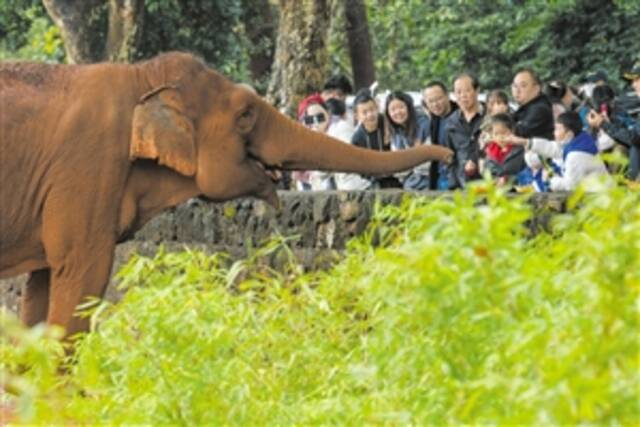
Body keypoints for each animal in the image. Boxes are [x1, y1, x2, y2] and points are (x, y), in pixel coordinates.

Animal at [0, 51, 450, 338]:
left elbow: (43, 283)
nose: (445, 154)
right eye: (246, 114)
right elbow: (81, 274)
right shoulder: (87, 169)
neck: (141, 78)